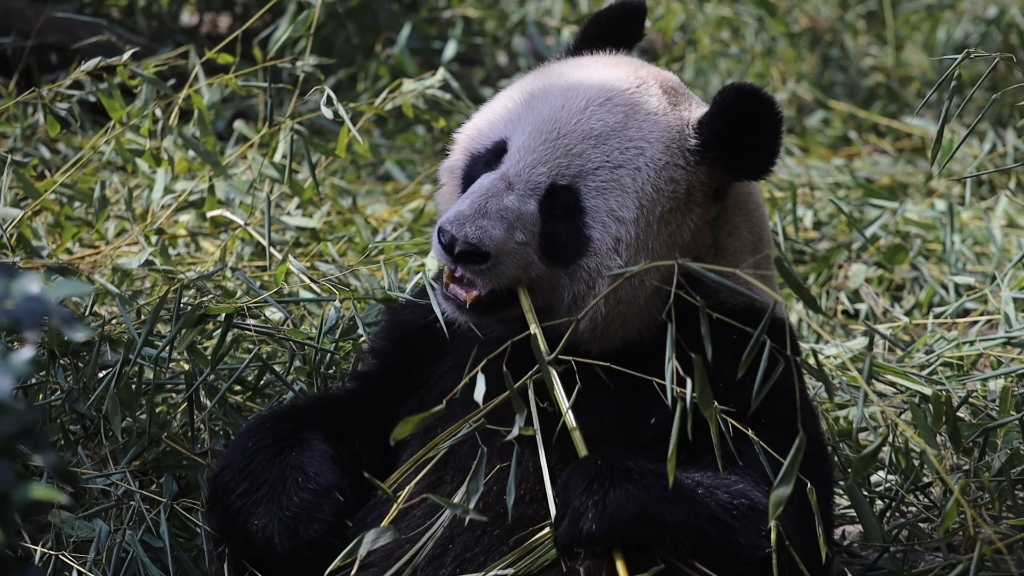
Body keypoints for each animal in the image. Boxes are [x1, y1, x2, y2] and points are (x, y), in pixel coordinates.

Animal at [203, 2, 835, 569]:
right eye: (489, 158)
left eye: (560, 208)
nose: (459, 244)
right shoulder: (433, 339)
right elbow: (343, 417)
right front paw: (295, 510)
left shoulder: (731, 356)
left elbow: (782, 521)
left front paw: (590, 499)